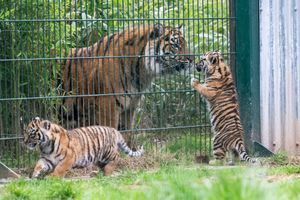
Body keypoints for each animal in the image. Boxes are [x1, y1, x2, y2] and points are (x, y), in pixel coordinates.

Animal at [61, 23, 192, 130]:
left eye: (185, 44)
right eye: (175, 45)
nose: (192, 59)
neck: (142, 71)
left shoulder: (130, 107)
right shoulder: (107, 107)